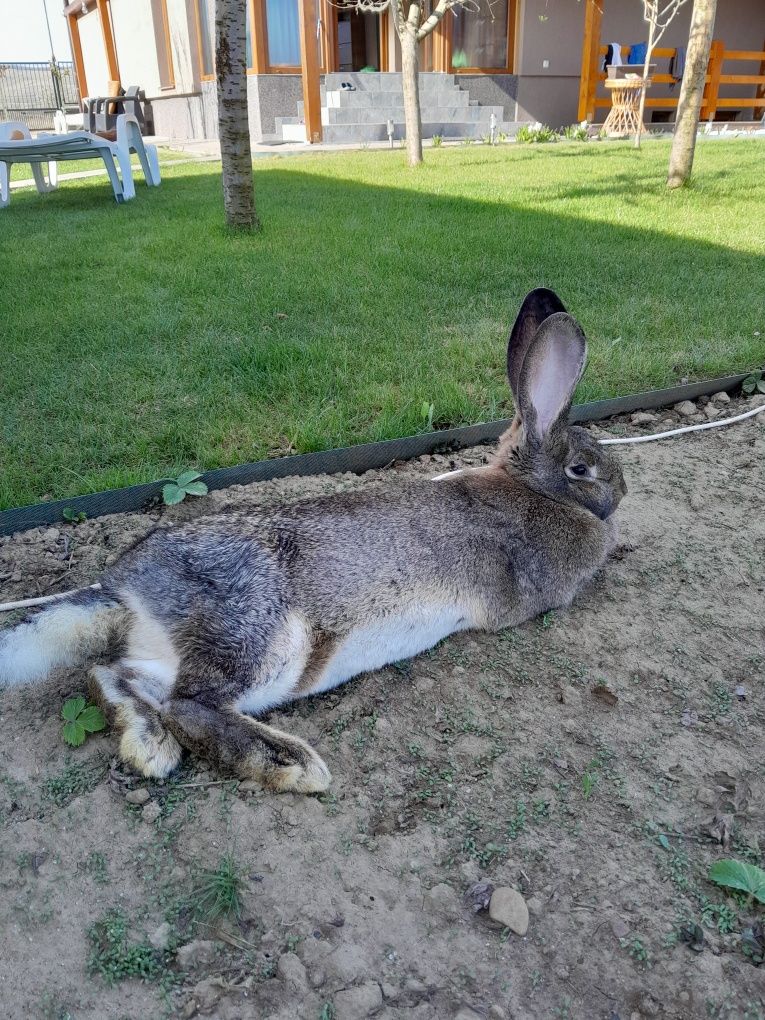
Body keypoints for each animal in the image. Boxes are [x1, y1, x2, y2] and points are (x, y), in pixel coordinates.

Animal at [0, 291, 628, 791]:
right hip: (259, 635)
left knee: (113, 676)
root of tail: (123, 592)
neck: (531, 488)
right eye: (581, 470)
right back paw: (290, 764)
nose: (623, 488)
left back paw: (148, 746)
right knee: (187, 702)